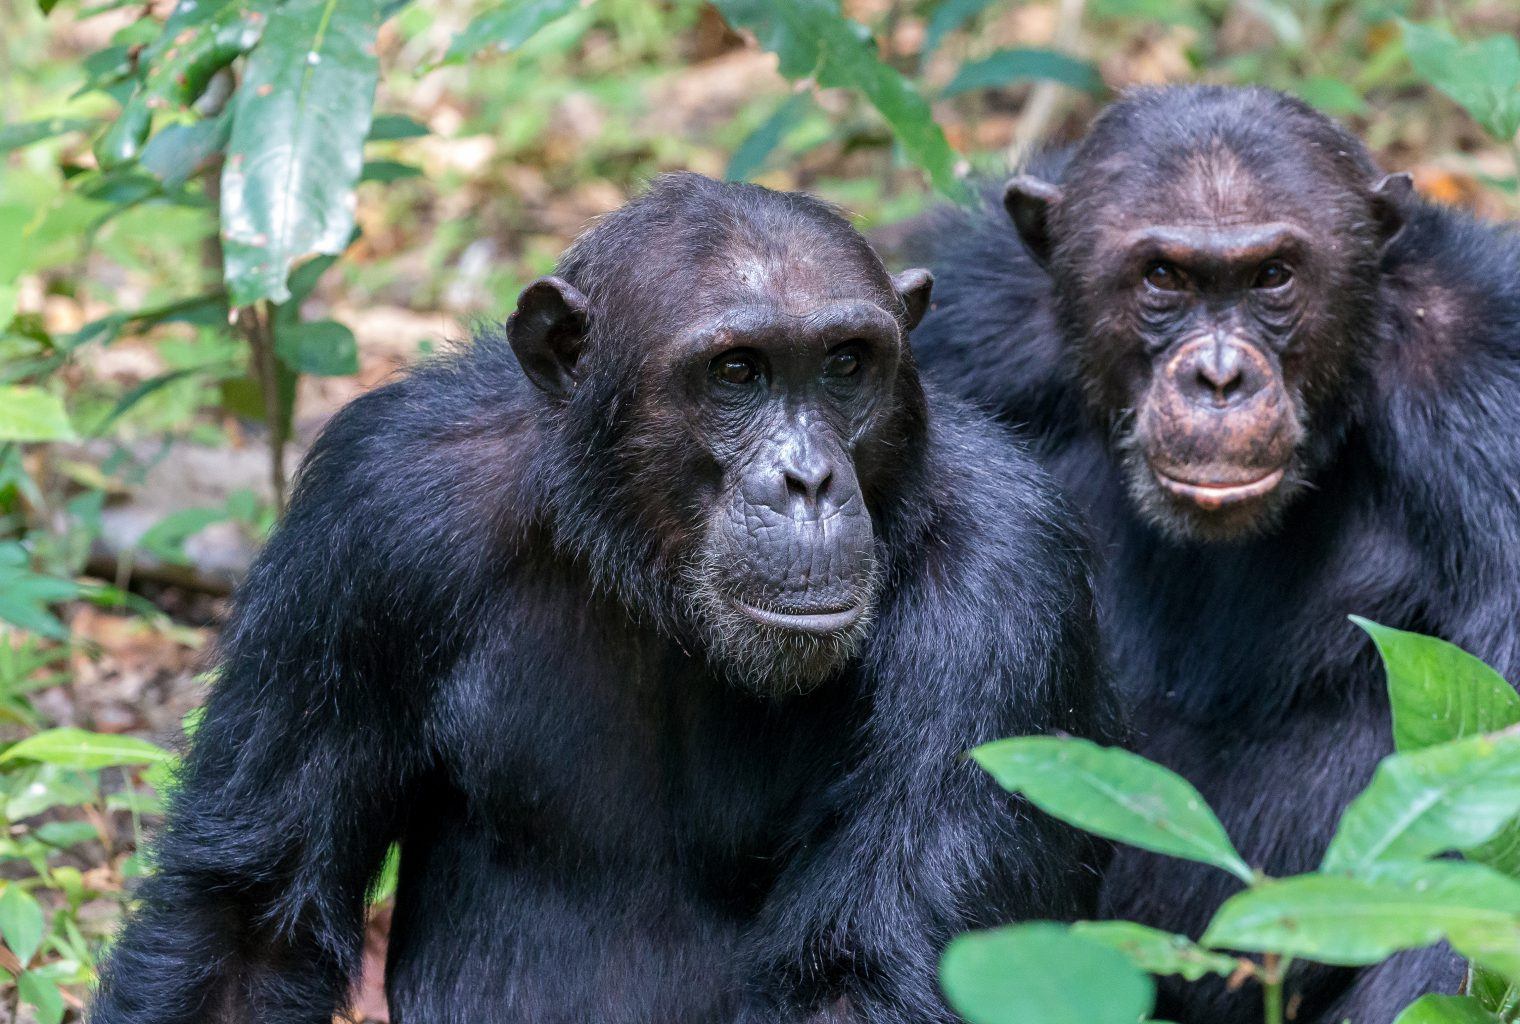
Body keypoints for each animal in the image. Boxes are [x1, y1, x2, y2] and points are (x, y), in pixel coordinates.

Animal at [91, 175, 1118, 1020]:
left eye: (846, 364)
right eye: (738, 372)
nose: (809, 479)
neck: (655, 581)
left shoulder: (1005, 585)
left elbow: (864, 974)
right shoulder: (366, 516)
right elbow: (251, 923)